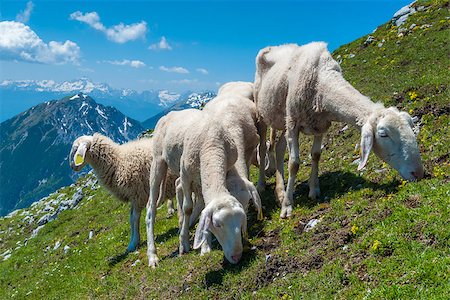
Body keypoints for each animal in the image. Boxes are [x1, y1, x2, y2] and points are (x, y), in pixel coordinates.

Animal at [147, 108, 248, 268]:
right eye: (217, 224)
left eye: (241, 220)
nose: (237, 256)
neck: (212, 144)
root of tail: (169, 114)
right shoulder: (186, 174)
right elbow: (188, 207)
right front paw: (183, 243)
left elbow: (204, 208)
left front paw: (205, 244)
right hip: (158, 161)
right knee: (151, 208)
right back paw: (152, 255)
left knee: (177, 184)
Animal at [255, 41, 424, 218]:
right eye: (383, 134)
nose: (418, 173)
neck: (320, 81)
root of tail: (276, 46)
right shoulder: (294, 123)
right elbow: (294, 164)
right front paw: (287, 206)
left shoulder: (319, 124)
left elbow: (316, 155)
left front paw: (313, 190)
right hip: (264, 116)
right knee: (263, 148)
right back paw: (262, 186)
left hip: (284, 120)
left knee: (280, 147)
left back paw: (280, 192)